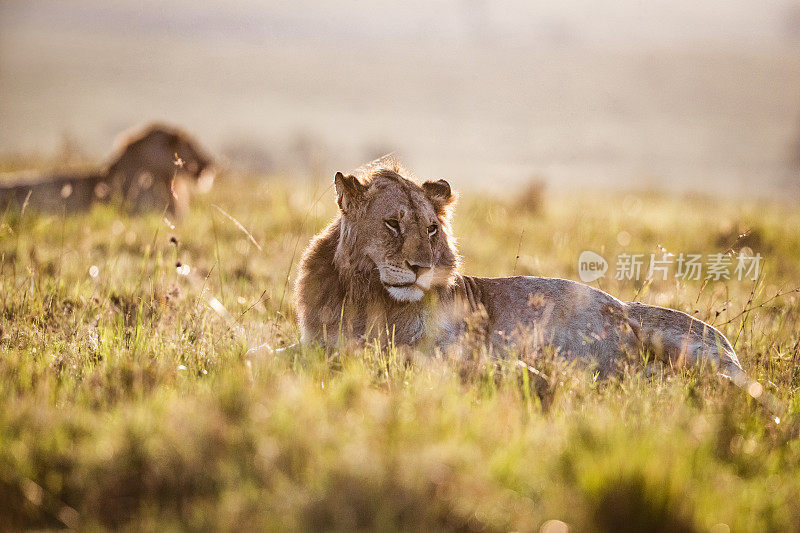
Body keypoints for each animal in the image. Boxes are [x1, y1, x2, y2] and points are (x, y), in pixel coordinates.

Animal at [296, 163, 772, 400]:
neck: (365, 295)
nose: (421, 267)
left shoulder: (445, 351)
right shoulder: (319, 341)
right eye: (393, 224)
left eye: (431, 229)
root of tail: (625, 307)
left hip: (686, 352)